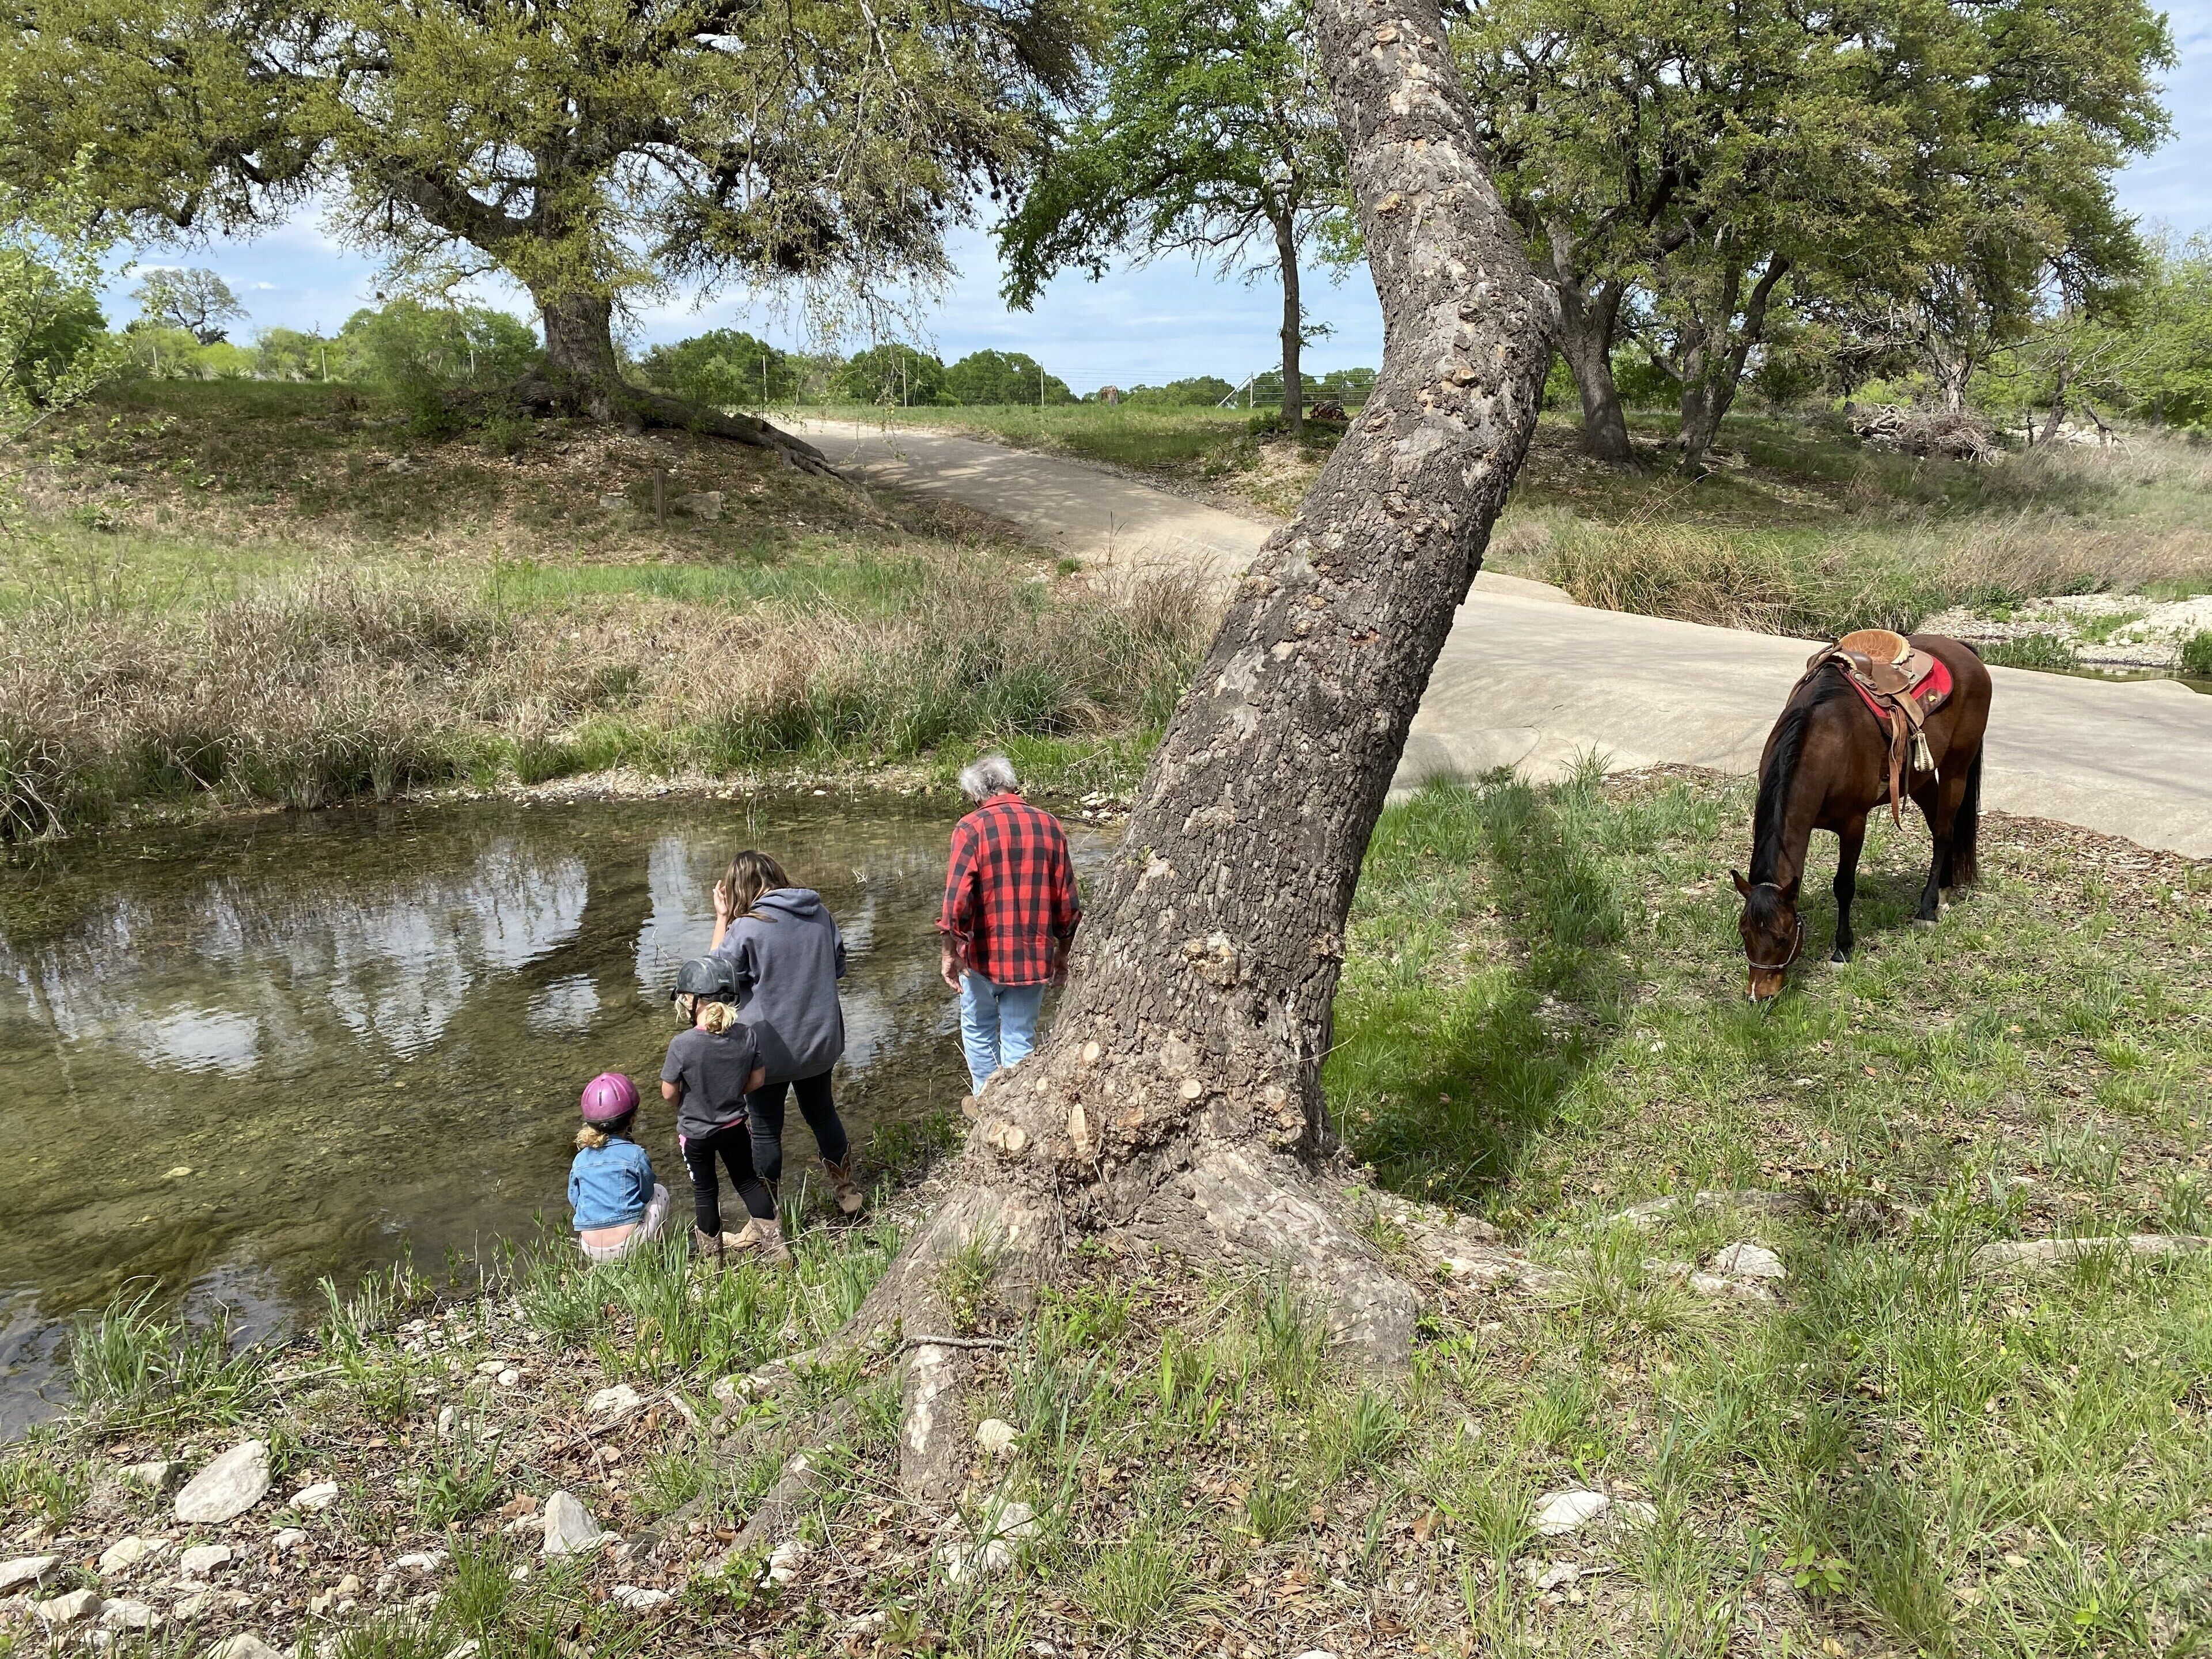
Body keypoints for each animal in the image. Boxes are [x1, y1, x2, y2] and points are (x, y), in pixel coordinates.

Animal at [1732, 634, 1992, 1001]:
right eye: (1744, 933)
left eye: (1783, 939)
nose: (1760, 994)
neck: (1826, 741)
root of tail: (1963, 651)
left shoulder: (1854, 824)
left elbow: (1844, 886)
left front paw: (1842, 949)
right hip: (1921, 778)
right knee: (1939, 827)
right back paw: (1944, 889)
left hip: (1957, 766)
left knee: (1944, 830)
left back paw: (1928, 909)